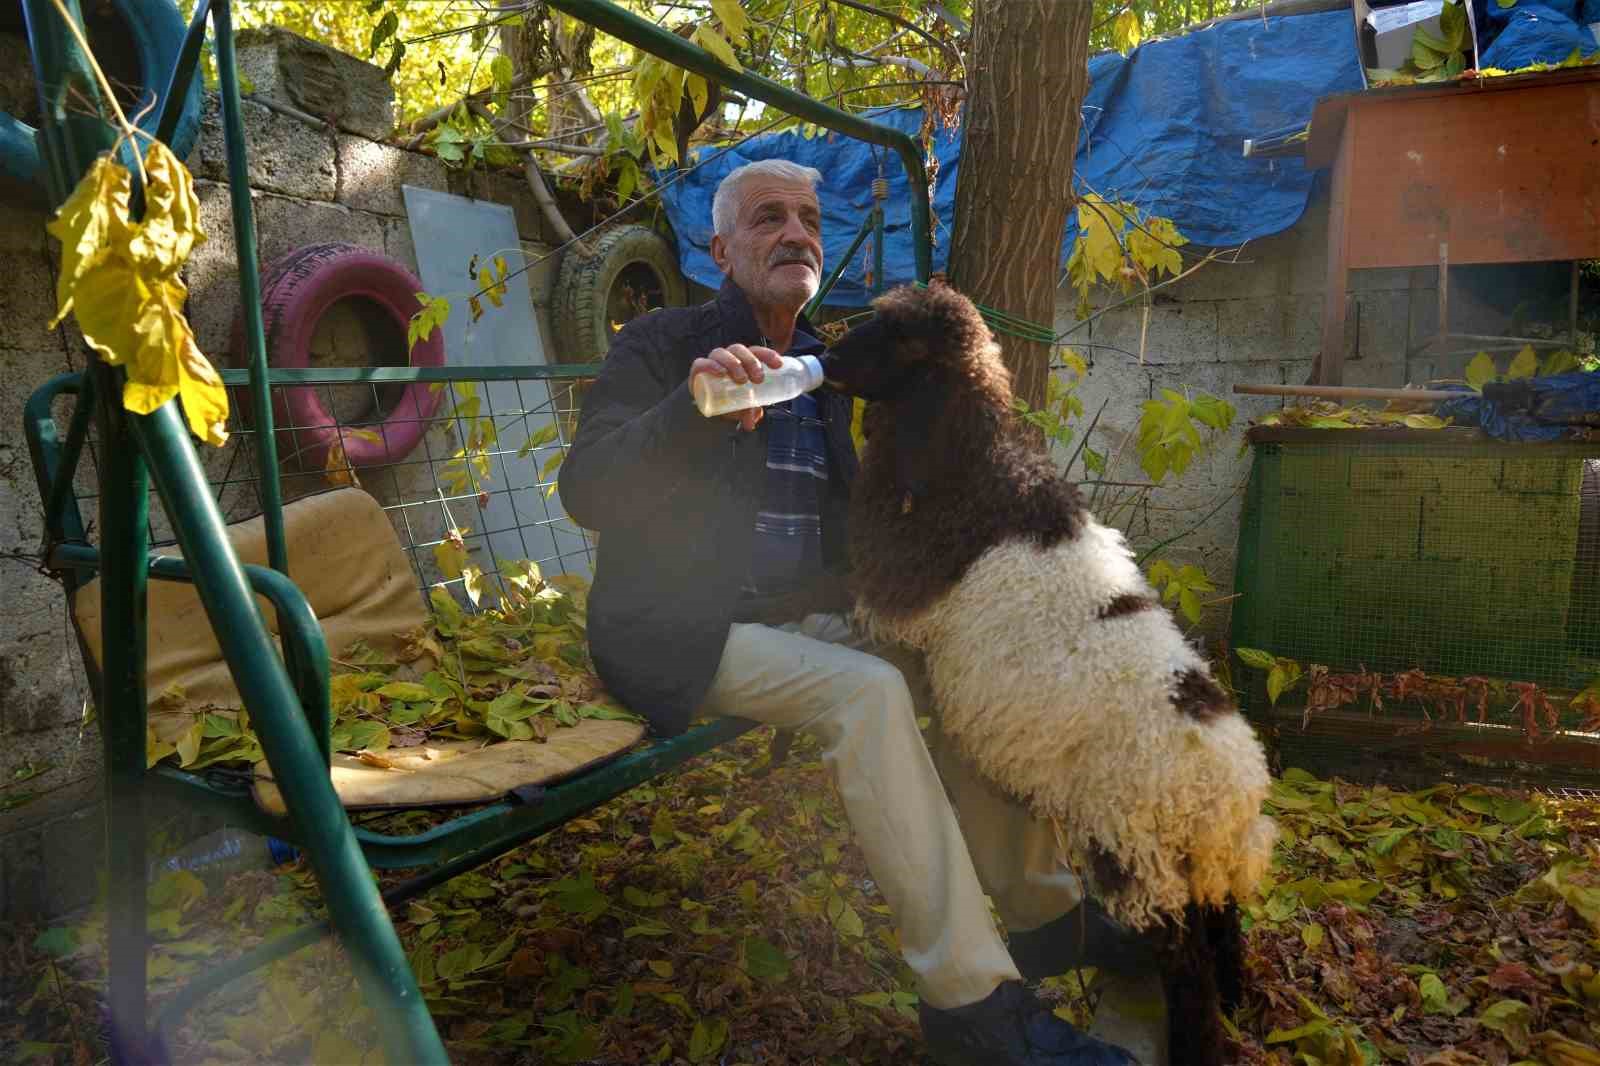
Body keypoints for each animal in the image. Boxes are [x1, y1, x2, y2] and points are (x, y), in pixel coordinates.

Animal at [819, 280, 1280, 1062]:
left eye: (897, 336)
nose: (825, 356)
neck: (976, 464)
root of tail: (1225, 795)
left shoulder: (891, 587)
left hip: (1134, 851)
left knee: (1185, 961)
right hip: (1198, 868)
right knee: (1224, 930)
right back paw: (1238, 1000)